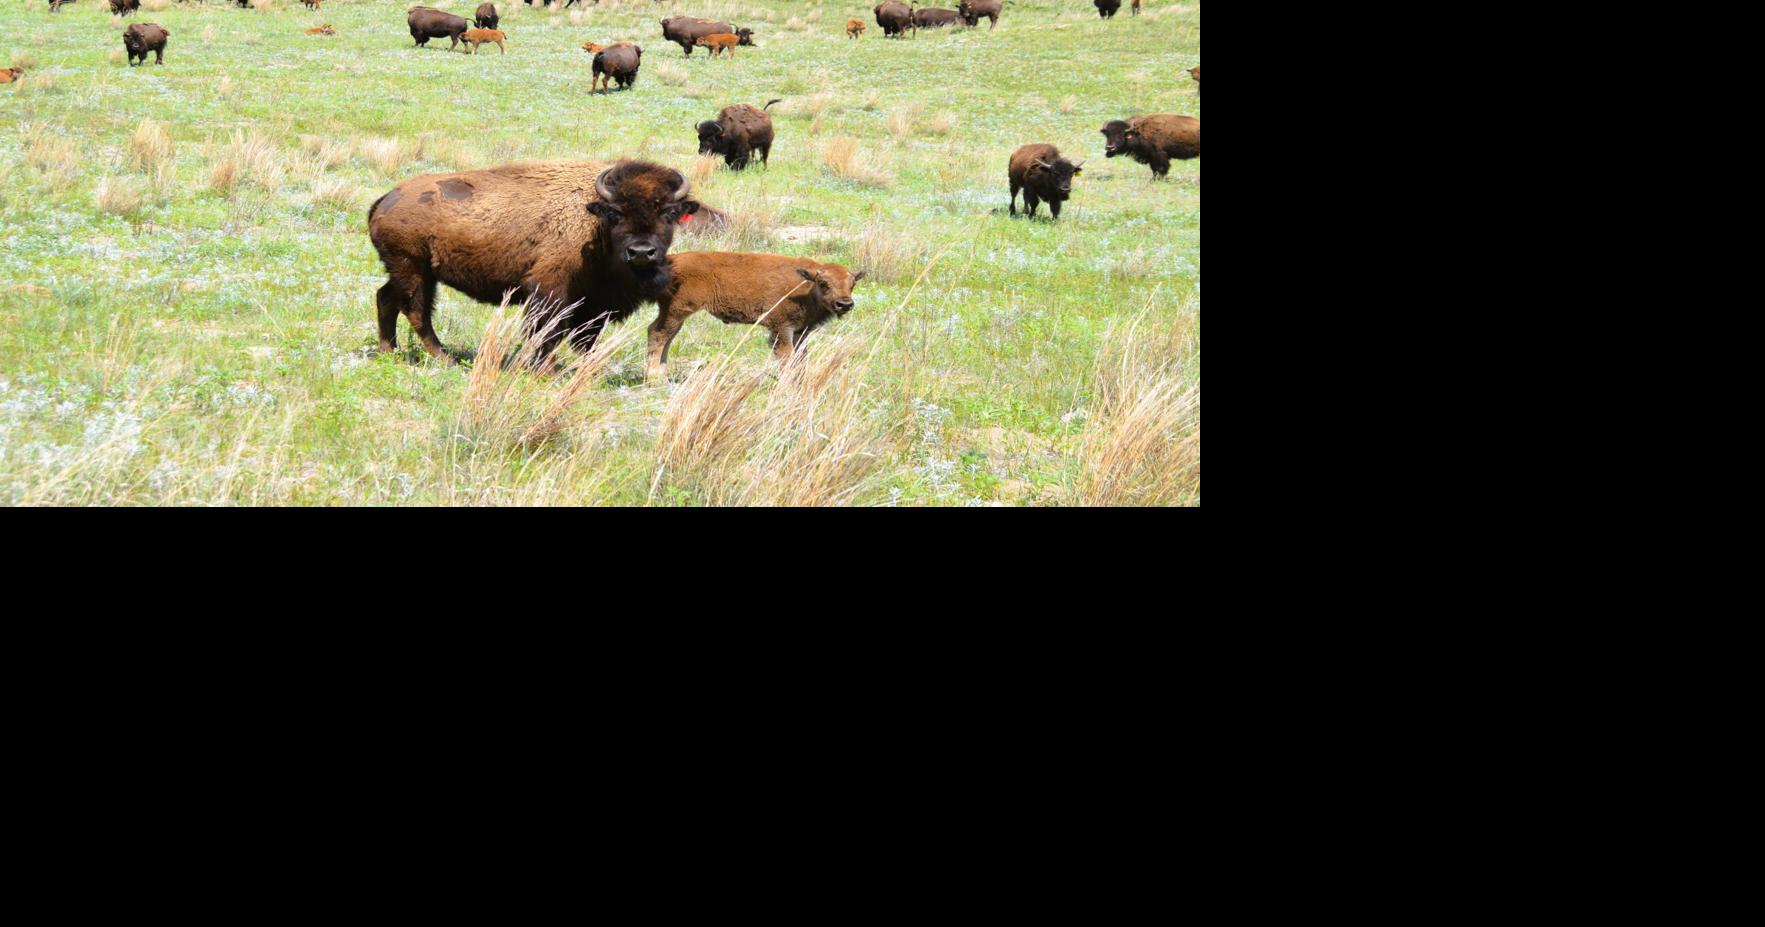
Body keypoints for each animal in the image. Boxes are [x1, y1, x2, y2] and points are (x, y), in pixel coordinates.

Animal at [367, 159, 704, 364]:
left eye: (669, 213)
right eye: (615, 213)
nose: (641, 252)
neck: (592, 220)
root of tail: (387, 198)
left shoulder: (593, 302)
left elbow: (586, 337)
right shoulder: (549, 288)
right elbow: (547, 330)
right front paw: (549, 369)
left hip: (412, 270)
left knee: (386, 298)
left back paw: (389, 350)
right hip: (412, 267)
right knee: (416, 309)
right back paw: (443, 357)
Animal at [647, 252, 865, 379]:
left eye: (852, 284)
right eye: (823, 283)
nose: (844, 304)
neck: (806, 287)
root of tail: (671, 261)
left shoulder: (800, 331)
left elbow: (801, 357)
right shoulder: (781, 329)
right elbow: (786, 356)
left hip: (675, 315)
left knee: (665, 336)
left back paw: (663, 374)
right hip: (677, 311)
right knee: (658, 334)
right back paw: (655, 378)